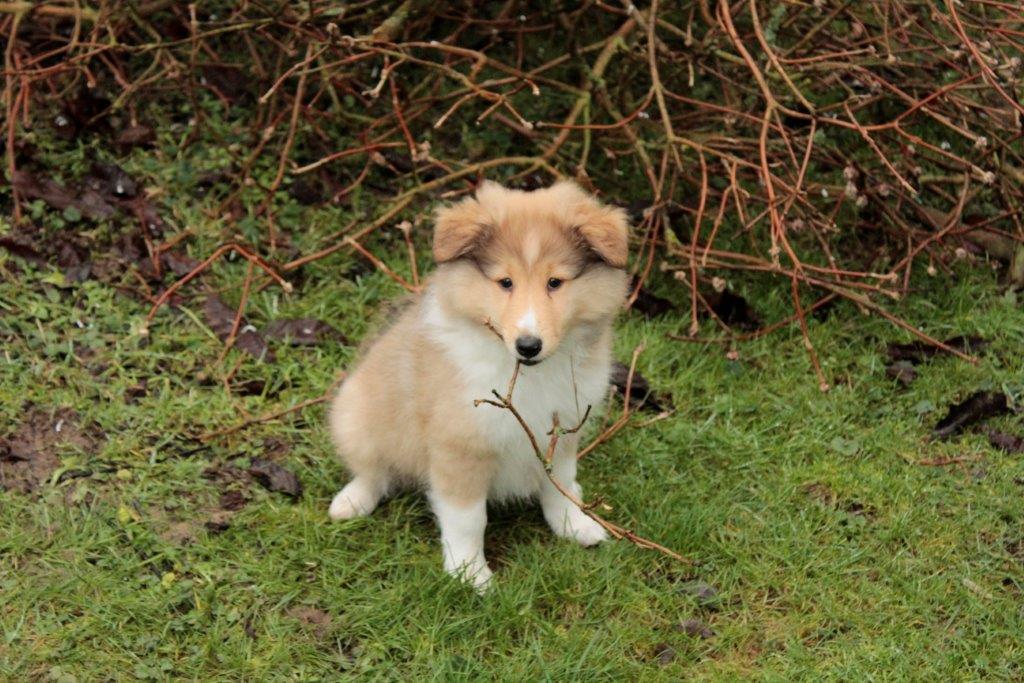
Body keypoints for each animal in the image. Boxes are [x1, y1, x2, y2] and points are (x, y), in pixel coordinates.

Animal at [327, 180, 629, 590]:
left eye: (555, 282)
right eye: (505, 282)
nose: (528, 345)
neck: (527, 374)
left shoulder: (562, 431)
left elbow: (560, 485)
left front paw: (574, 525)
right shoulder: (460, 446)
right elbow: (468, 519)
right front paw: (470, 574)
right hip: (357, 416)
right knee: (373, 471)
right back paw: (351, 501)